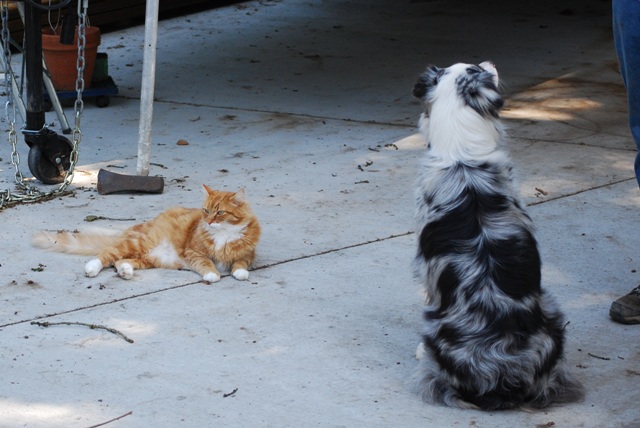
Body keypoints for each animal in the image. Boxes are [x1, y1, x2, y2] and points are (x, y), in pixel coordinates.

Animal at [33, 185, 261, 283]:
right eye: (206, 211)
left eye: (220, 212)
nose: (208, 221)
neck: (224, 234)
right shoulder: (194, 253)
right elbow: (207, 264)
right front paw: (213, 274)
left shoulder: (247, 255)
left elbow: (240, 265)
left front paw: (239, 272)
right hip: (138, 243)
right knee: (106, 254)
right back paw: (92, 268)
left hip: (149, 258)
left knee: (120, 261)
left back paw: (125, 271)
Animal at [411, 61, 584, 410]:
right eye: (475, 67)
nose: (491, 63)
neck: (463, 158)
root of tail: (502, 375)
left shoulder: (426, 271)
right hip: (552, 319)